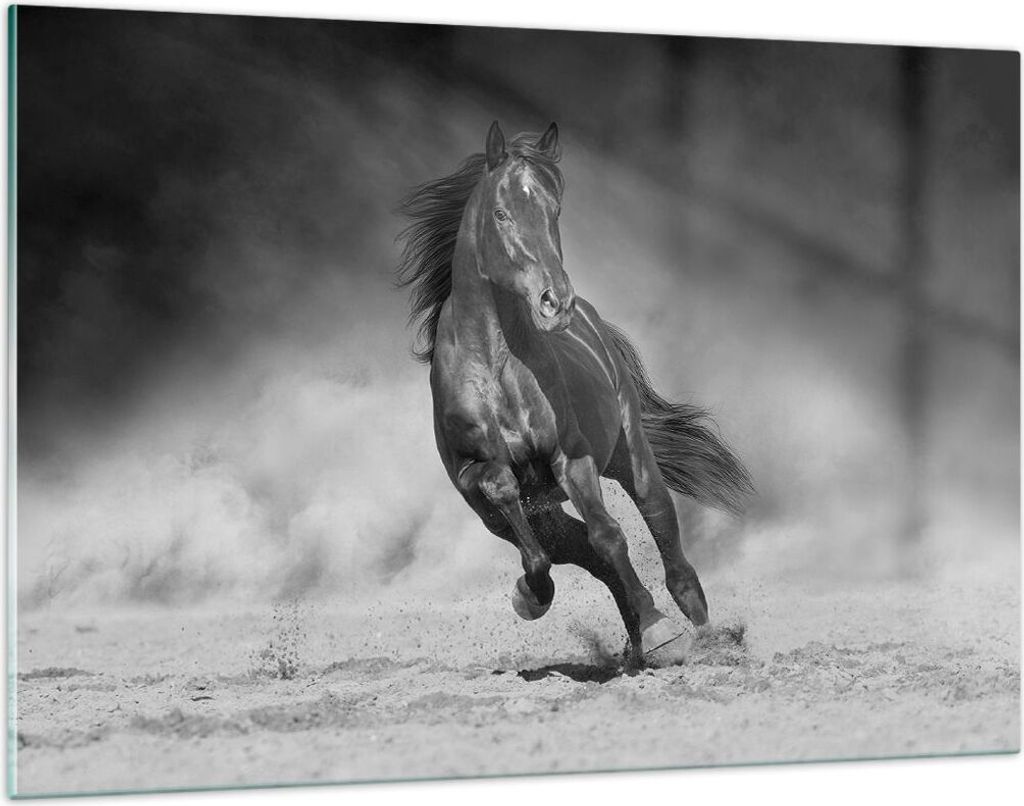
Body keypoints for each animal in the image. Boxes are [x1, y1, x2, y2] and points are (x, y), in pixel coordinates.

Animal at [397, 121, 752, 665]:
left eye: (554, 210)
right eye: (501, 213)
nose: (554, 301)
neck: (497, 369)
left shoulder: (572, 458)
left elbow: (609, 536)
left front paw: (660, 631)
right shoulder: (475, 479)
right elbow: (520, 513)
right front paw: (530, 596)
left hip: (632, 459)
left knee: (664, 538)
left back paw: (698, 636)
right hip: (522, 515)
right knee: (577, 550)